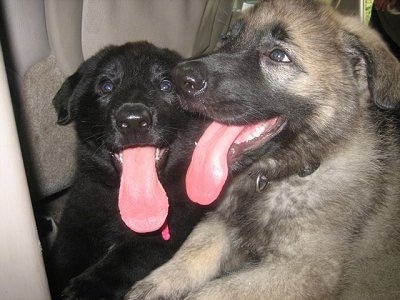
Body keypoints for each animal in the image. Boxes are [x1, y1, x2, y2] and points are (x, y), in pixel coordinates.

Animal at [49, 41, 205, 298]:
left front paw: (83, 289)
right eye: (106, 86)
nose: (133, 120)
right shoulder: (77, 220)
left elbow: (124, 261)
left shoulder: (163, 235)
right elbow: (65, 257)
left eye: (166, 85)